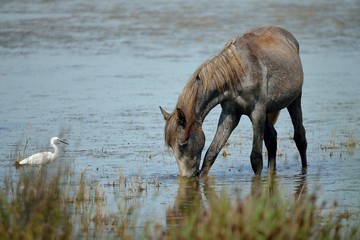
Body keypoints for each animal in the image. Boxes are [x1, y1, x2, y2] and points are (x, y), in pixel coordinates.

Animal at [160, 25, 306, 178]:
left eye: (184, 143)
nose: (186, 176)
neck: (238, 74)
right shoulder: (230, 115)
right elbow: (211, 153)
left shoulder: (257, 113)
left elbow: (256, 158)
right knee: (272, 140)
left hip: (294, 100)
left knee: (300, 137)